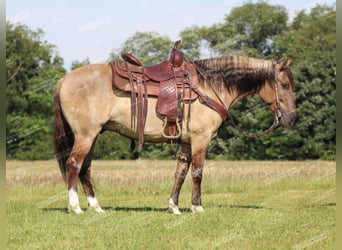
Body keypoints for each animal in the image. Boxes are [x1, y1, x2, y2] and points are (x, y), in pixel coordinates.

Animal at [53, 44, 296, 213]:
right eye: (284, 85)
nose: (292, 119)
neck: (209, 87)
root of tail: (65, 79)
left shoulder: (187, 143)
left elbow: (180, 173)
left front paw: (174, 206)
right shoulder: (200, 139)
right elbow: (197, 172)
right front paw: (197, 206)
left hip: (92, 136)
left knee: (85, 169)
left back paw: (96, 207)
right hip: (85, 135)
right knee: (73, 164)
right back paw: (75, 207)